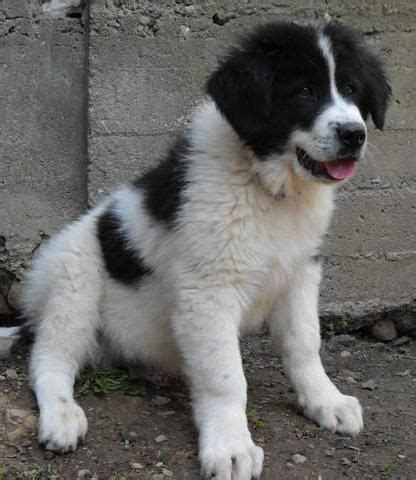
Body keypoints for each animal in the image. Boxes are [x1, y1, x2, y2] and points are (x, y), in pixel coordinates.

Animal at [18, 19, 390, 480]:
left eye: (352, 90)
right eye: (304, 91)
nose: (354, 134)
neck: (264, 184)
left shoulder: (301, 271)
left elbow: (305, 343)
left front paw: (325, 401)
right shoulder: (209, 291)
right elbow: (226, 377)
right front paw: (231, 446)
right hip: (74, 280)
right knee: (49, 360)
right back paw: (62, 416)